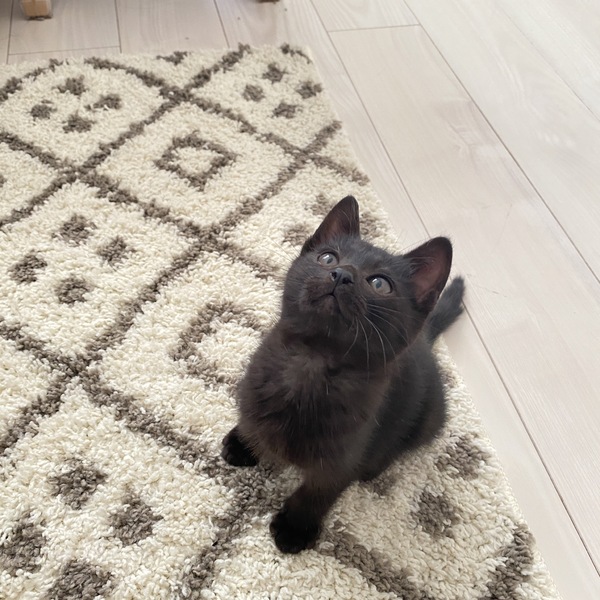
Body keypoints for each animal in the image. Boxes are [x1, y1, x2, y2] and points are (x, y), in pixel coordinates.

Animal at [221, 195, 465, 553]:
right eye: (327, 258)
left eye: (379, 283)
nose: (341, 275)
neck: (312, 362)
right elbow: (254, 421)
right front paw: (244, 443)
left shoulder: (343, 457)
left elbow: (319, 492)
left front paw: (295, 527)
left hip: (429, 419)